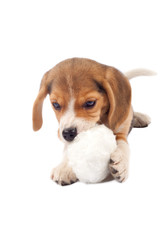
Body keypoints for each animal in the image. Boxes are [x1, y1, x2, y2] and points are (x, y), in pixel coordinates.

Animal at [32, 57, 151, 186]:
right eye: (56, 105)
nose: (68, 133)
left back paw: (140, 117)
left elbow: (123, 146)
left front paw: (121, 163)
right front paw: (65, 167)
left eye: (90, 103)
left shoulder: (121, 132)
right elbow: (68, 149)